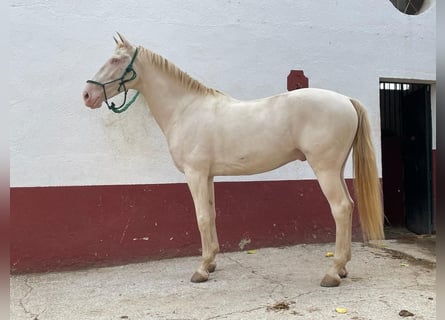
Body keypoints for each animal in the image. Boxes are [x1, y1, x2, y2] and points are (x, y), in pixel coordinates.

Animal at [84, 33, 386, 288]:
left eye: (116, 60)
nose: (88, 95)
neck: (186, 109)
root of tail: (345, 100)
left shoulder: (194, 173)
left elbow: (201, 217)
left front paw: (201, 269)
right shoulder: (207, 175)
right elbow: (212, 214)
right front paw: (211, 262)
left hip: (324, 169)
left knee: (341, 208)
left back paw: (332, 273)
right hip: (337, 169)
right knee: (348, 205)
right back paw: (343, 268)